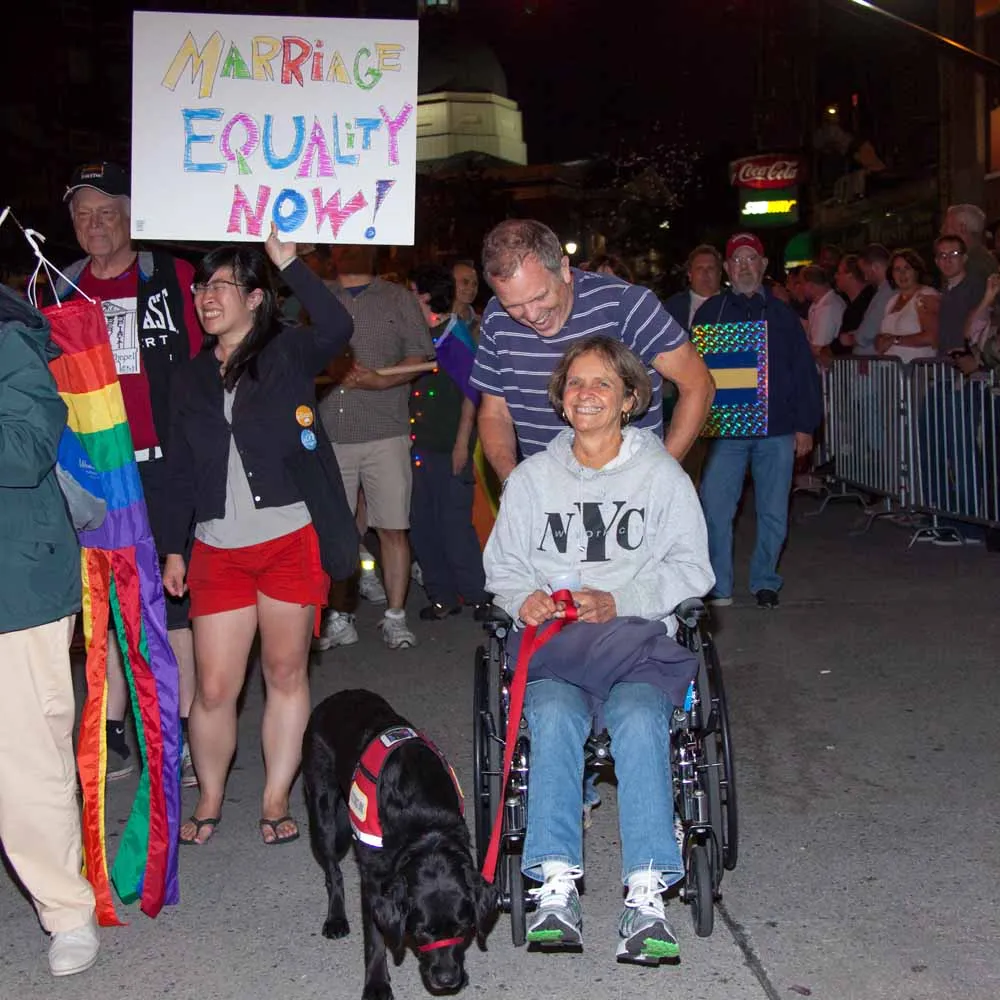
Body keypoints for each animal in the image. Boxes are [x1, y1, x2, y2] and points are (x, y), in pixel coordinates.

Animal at [302, 689, 499, 1000]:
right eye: (421, 932)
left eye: (462, 929)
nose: (447, 979)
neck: (425, 827)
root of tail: (335, 698)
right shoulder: (372, 882)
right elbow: (375, 939)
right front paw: (376, 984)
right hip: (322, 812)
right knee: (333, 872)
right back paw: (336, 918)